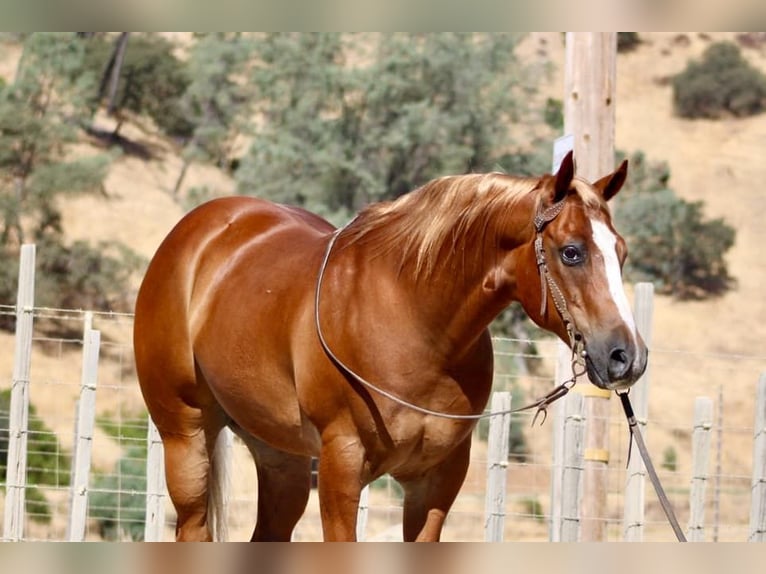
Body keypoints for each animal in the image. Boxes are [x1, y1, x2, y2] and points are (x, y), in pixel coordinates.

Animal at [134, 151, 648, 544]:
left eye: (621, 252)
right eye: (572, 252)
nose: (627, 356)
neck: (414, 324)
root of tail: (197, 232)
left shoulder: (436, 482)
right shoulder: (341, 471)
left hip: (282, 458)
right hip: (186, 437)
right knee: (193, 527)